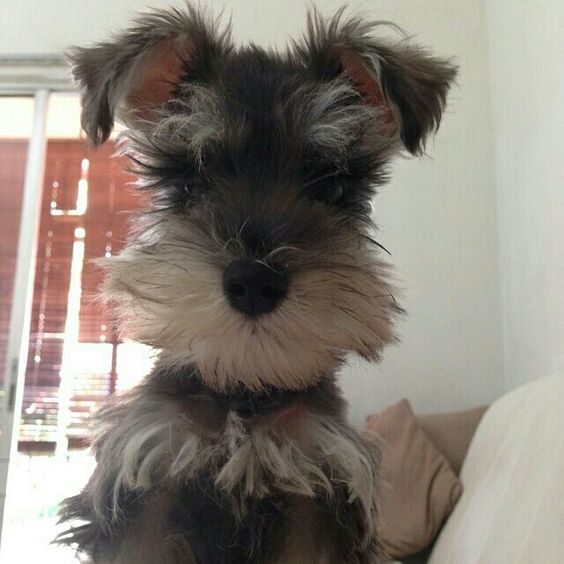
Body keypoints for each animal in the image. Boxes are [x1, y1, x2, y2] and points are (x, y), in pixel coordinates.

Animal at [56, 5, 454, 564]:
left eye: (331, 187)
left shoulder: (317, 484)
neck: (244, 393)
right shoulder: (148, 480)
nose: (254, 282)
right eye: (190, 180)